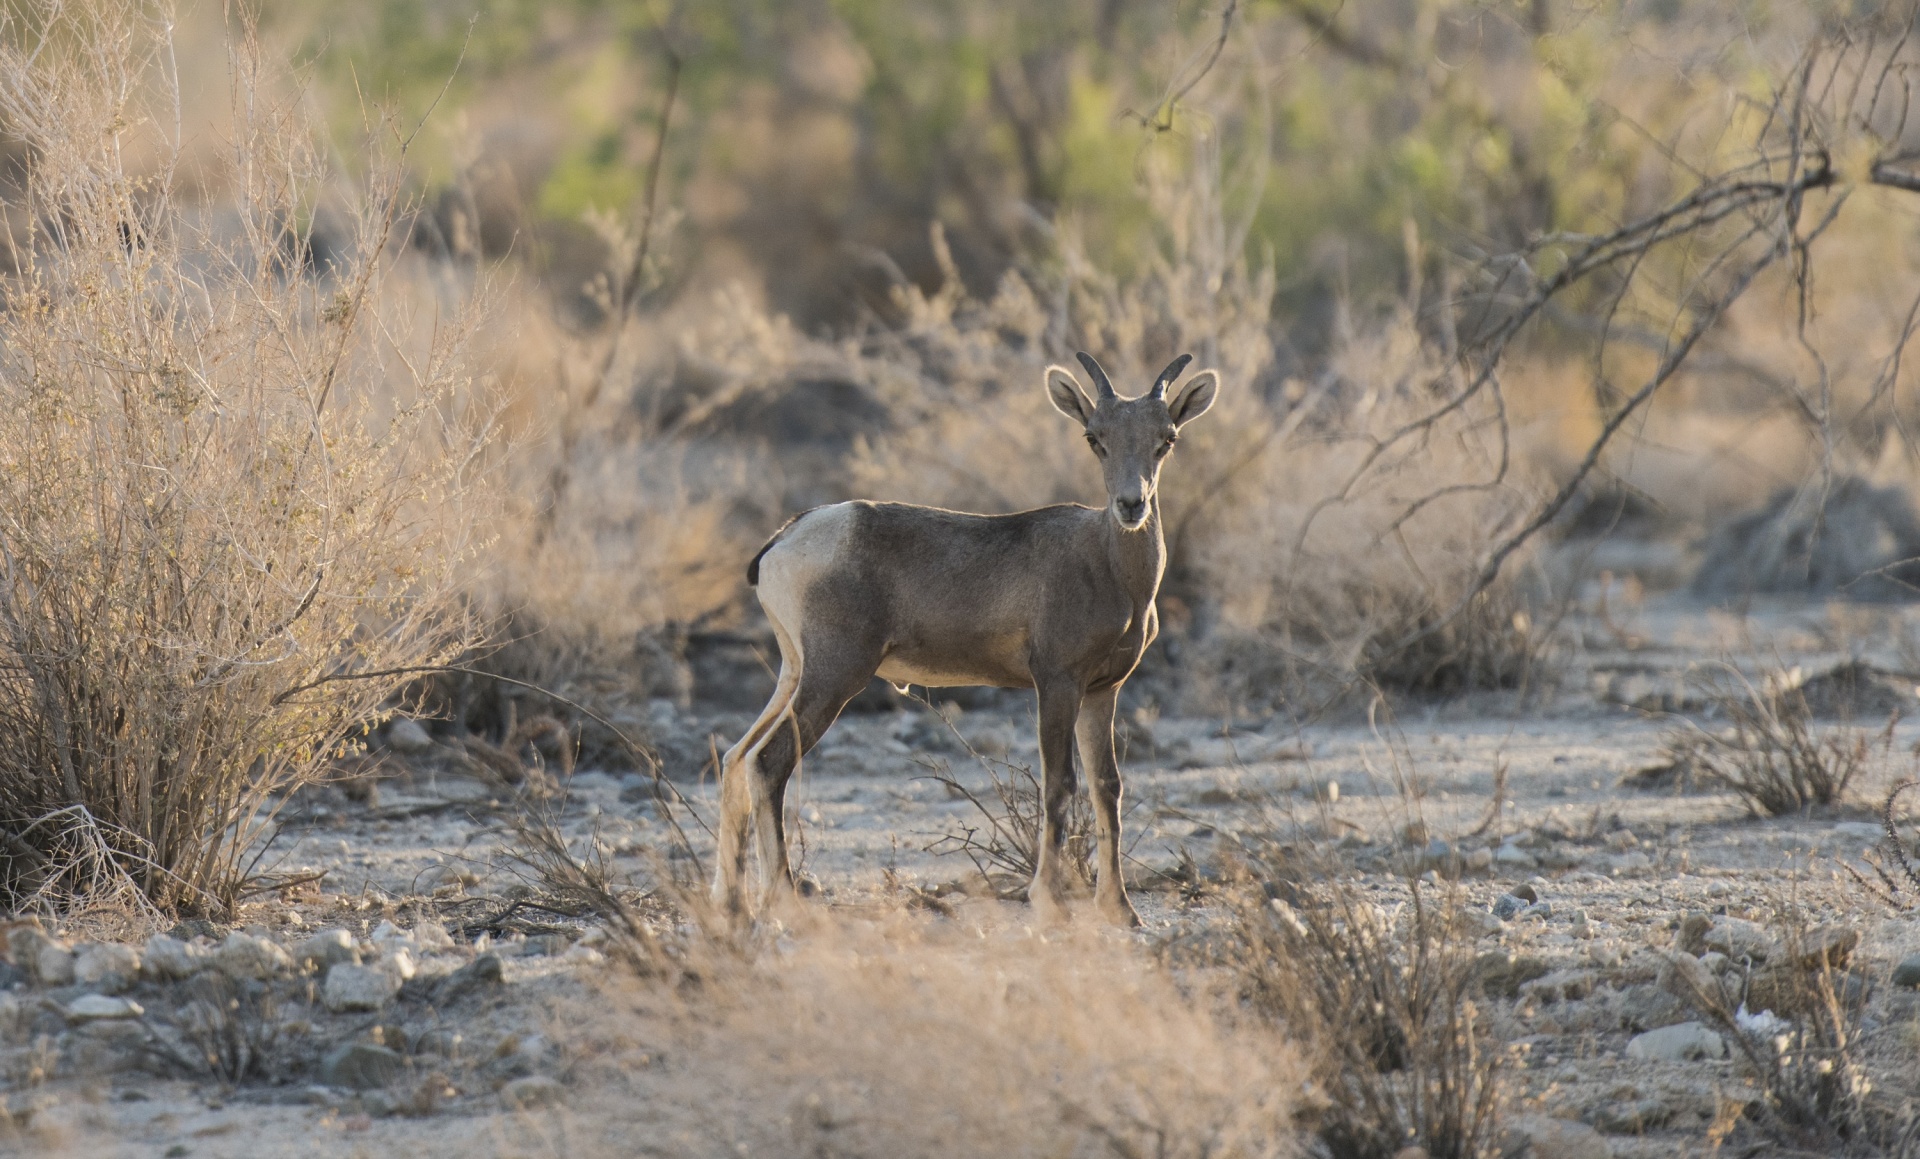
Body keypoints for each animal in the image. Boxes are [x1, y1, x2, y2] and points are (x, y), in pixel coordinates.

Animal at [714, 353, 1221, 924]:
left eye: (1167, 437)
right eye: (1095, 436)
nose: (1131, 505)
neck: (1107, 564)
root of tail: (785, 540)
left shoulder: (1101, 692)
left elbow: (1106, 786)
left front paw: (1120, 910)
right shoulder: (1057, 684)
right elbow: (1060, 783)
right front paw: (1051, 903)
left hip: (796, 674)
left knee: (736, 758)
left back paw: (730, 904)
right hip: (833, 679)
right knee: (768, 762)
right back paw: (784, 900)